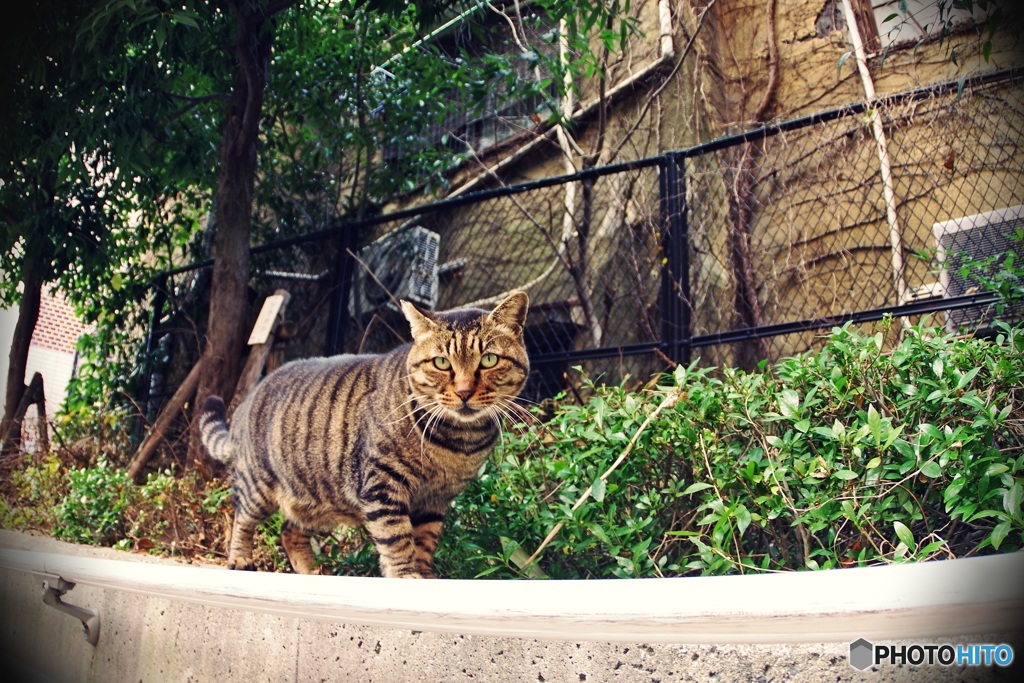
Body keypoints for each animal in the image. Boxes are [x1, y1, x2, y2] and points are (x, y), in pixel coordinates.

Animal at [202, 290, 532, 581]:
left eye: (488, 360)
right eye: (441, 363)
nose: (464, 392)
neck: (458, 443)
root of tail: (248, 398)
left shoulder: (436, 500)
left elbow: (424, 541)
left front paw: (424, 574)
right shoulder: (383, 482)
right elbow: (396, 536)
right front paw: (405, 574)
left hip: (316, 502)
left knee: (289, 531)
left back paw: (313, 572)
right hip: (258, 486)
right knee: (242, 519)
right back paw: (240, 558)